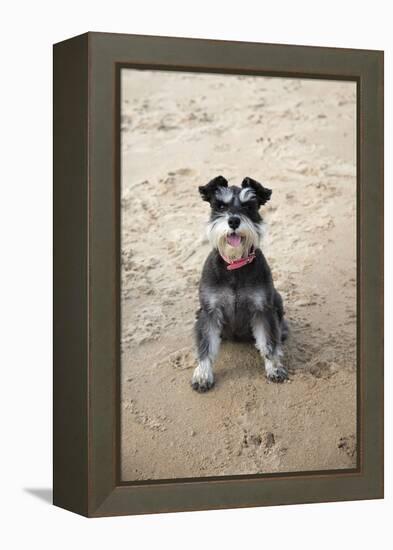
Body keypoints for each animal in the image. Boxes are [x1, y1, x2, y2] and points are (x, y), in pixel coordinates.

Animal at [192, 177, 288, 392]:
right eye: (220, 205)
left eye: (248, 206)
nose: (234, 221)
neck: (235, 265)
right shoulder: (210, 311)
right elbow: (206, 345)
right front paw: (202, 375)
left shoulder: (262, 309)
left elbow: (268, 342)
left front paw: (274, 368)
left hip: (276, 300)